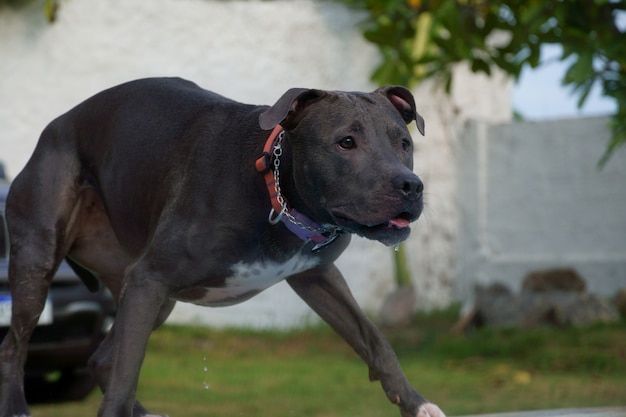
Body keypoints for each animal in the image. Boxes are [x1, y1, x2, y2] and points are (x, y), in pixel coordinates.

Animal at [0, 78, 444, 416]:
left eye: (404, 143)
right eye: (346, 142)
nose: (410, 186)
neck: (274, 191)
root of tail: (52, 129)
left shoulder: (317, 277)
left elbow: (375, 341)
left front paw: (418, 404)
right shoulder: (149, 278)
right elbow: (129, 370)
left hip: (149, 296)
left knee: (101, 358)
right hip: (41, 264)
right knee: (16, 347)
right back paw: (18, 408)